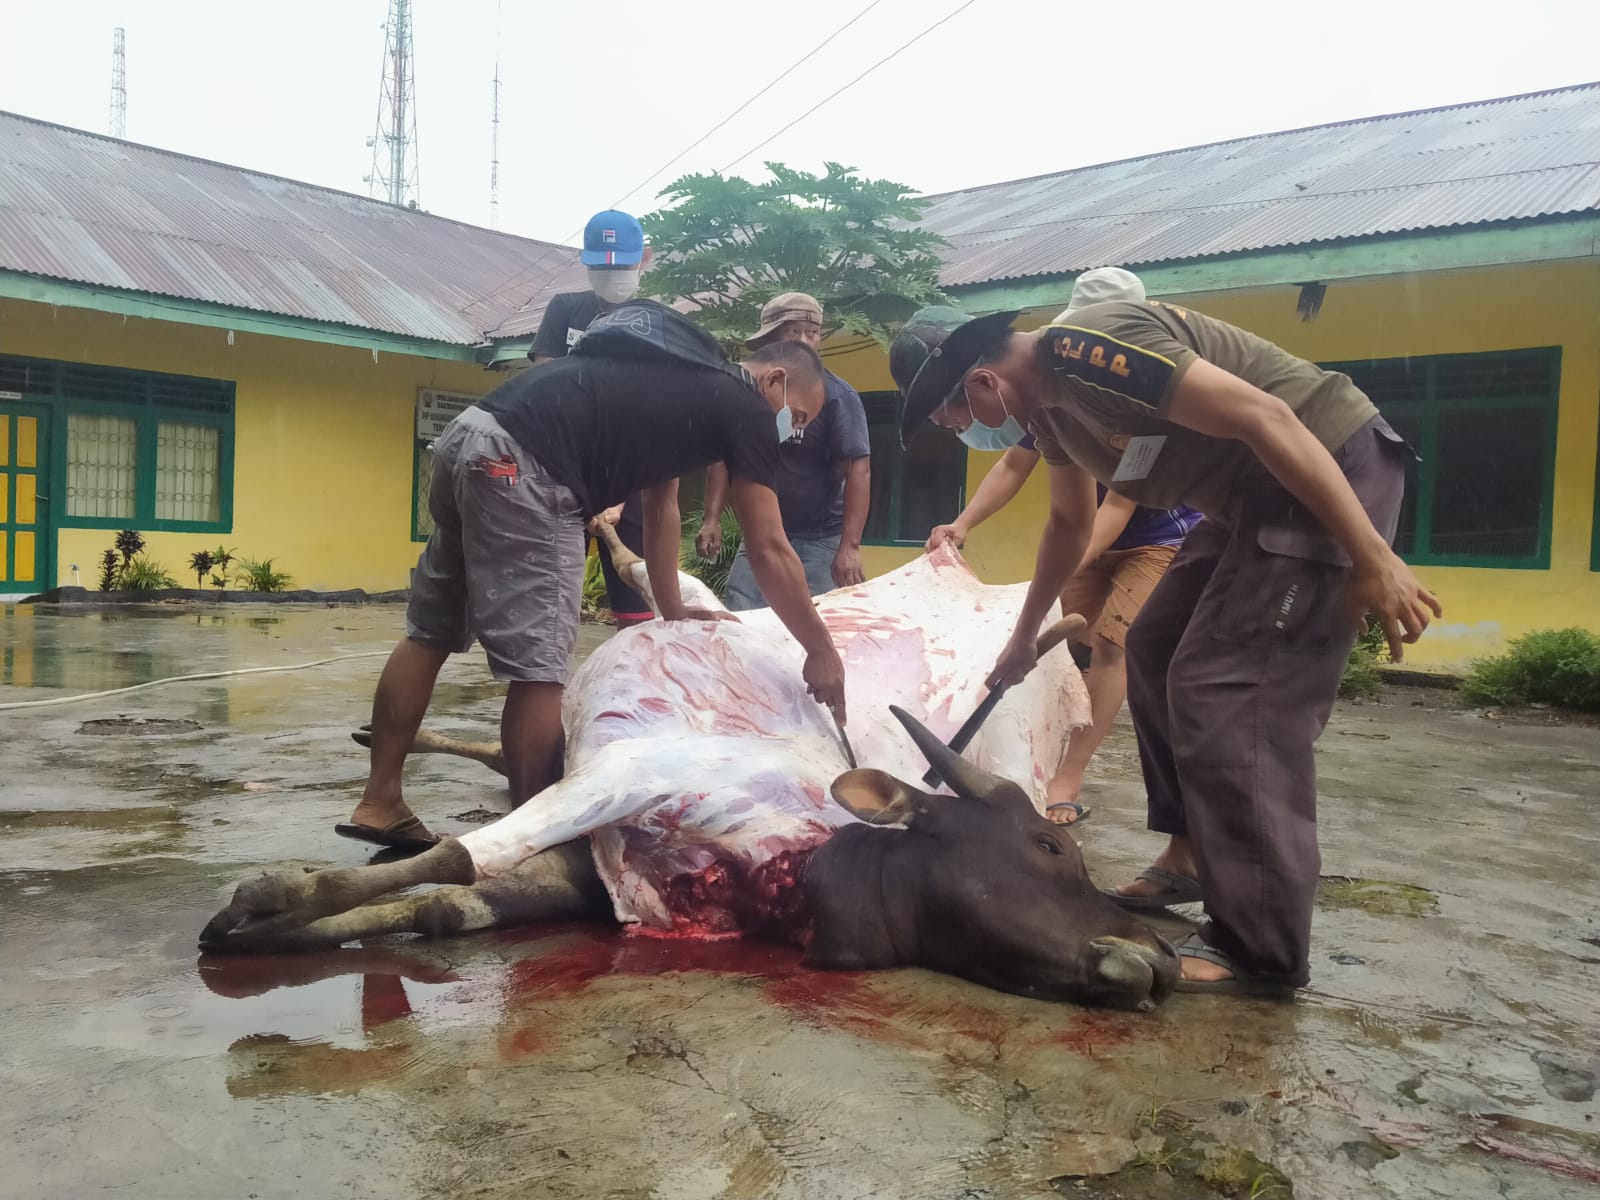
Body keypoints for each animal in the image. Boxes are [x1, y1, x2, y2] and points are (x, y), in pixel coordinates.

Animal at [196, 531, 1177, 1011]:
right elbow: (454, 858)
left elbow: (444, 901)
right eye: (1050, 852)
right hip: (683, 625)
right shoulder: (630, 772)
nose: (1167, 958)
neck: (802, 873)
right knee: (649, 572)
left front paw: (280, 928)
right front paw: (265, 902)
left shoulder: (596, 870)